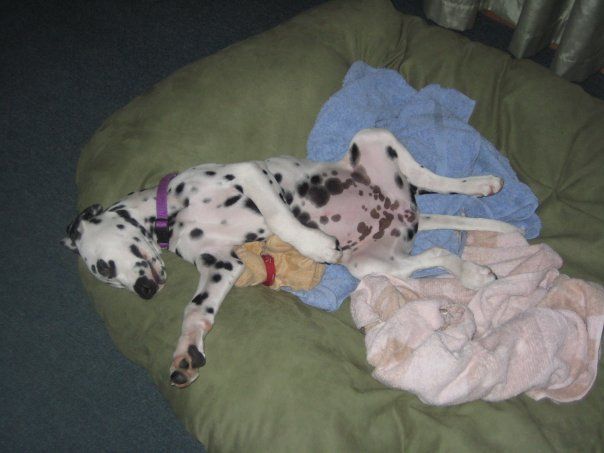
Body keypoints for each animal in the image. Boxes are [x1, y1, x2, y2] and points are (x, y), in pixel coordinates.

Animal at [62, 128, 517, 388]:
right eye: (108, 276)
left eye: (103, 266)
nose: (143, 290)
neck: (171, 212)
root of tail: (407, 211)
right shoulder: (221, 265)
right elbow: (195, 311)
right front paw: (186, 353)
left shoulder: (249, 174)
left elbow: (279, 218)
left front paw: (315, 245)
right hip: (372, 264)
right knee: (437, 248)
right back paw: (473, 272)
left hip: (372, 136)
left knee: (428, 176)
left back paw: (481, 184)